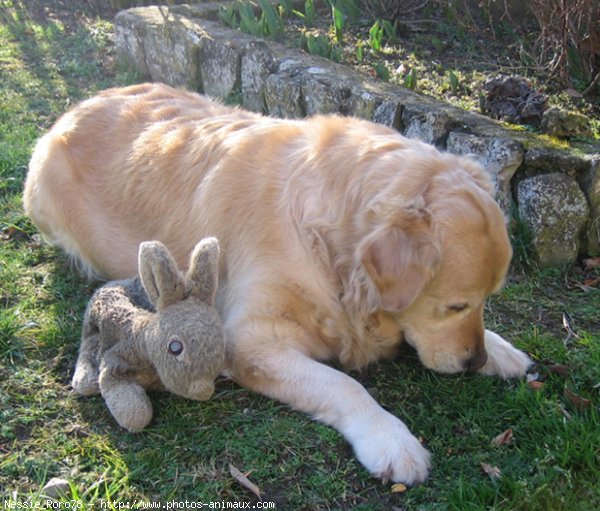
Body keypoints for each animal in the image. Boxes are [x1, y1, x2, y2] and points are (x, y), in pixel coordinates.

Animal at [23, 83, 532, 484]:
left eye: (484, 302)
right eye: (455, 306)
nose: (473, 361)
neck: (327, 239)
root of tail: (78, 105)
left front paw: (500, 350)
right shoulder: (245, 341)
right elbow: (344, 385)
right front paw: (391, 439)